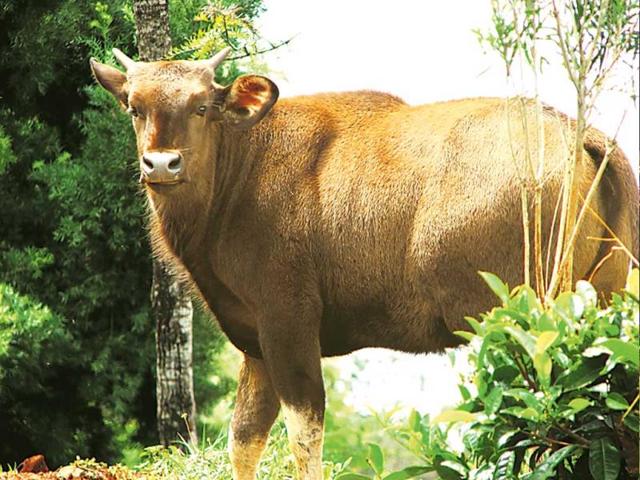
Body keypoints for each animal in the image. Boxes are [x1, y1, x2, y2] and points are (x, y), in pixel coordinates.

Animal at [90, 48, 638, 480]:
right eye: (134, 107)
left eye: (203, 106)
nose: (162, 164)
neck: (239, 177)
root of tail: (579, 135)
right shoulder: (255, 343)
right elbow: (244, 441)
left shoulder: (288, 321)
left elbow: (304, 435)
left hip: (516, 319)